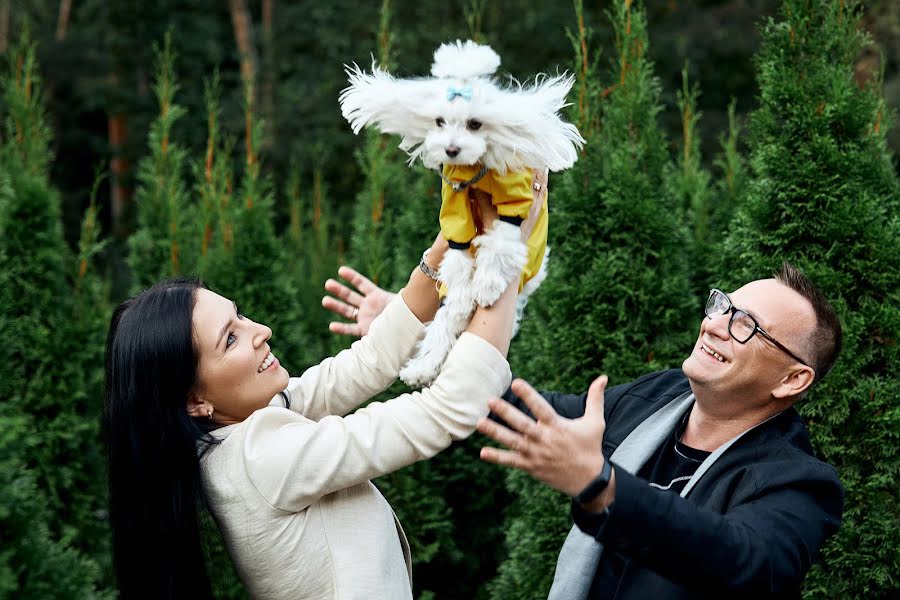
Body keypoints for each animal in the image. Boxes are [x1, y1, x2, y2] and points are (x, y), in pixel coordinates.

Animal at [340, 41, 584, 384]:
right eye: (439, 121)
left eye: (474, 124)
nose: (451, 150)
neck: (476, 169)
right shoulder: (455, 210)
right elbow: (458, 259)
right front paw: (474, 288)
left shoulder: (516, 201)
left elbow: (501, 242)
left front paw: (488, 285)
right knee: (449, 317)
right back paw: (423, 367)